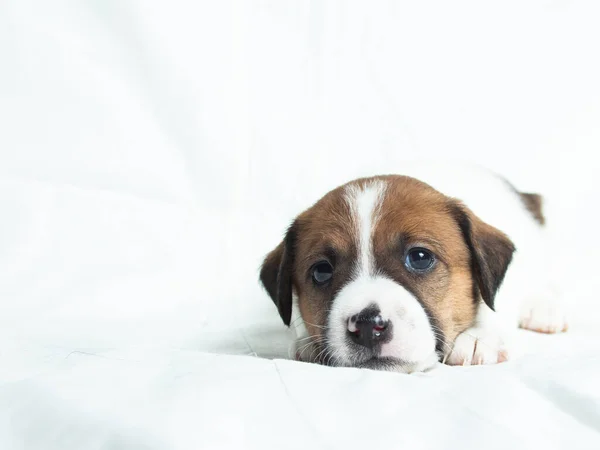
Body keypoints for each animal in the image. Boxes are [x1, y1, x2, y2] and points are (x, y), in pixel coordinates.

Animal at [258, 163, 568, 372]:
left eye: (419, 257)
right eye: (322, 271)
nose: (369, 327)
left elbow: (495, 303)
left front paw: (480, 337)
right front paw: (309, 342)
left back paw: (544, 310)